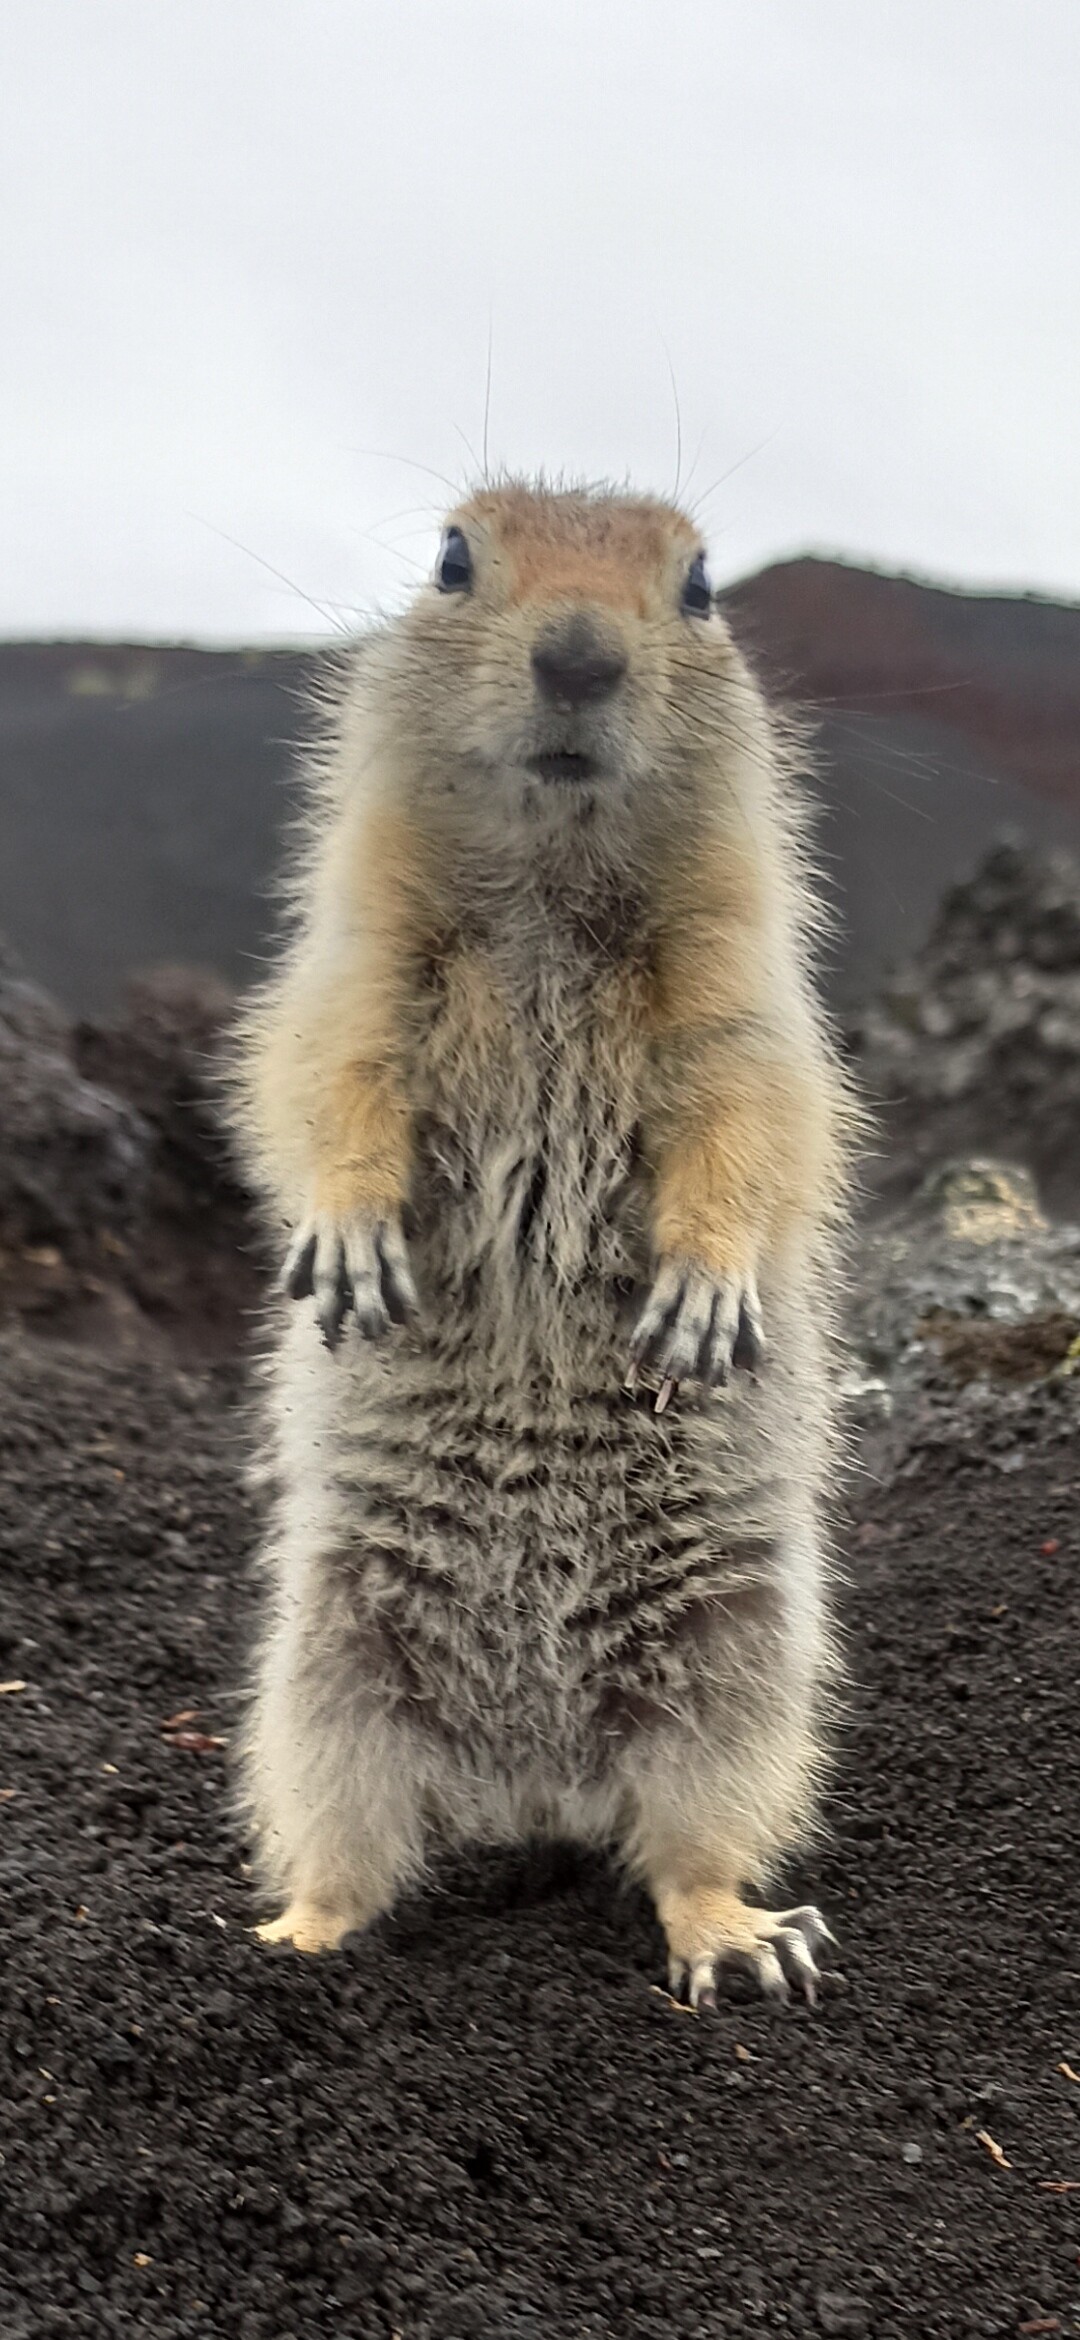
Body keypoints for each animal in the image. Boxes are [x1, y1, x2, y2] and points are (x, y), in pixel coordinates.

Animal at [232, 479, 855, 2012]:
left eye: (701, 584)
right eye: (453, 557)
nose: (579, 654)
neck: (552, 891)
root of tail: (533, 1785)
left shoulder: (745, 997)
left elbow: (756, 1119)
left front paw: (706, 1290)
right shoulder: (353, 968)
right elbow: (322, 1076)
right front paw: (348, 1240)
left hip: (735, 1680)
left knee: (686, 1852)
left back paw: (745, 1939)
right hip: (326, 1683)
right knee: (350, 1854)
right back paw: (292, 1937)